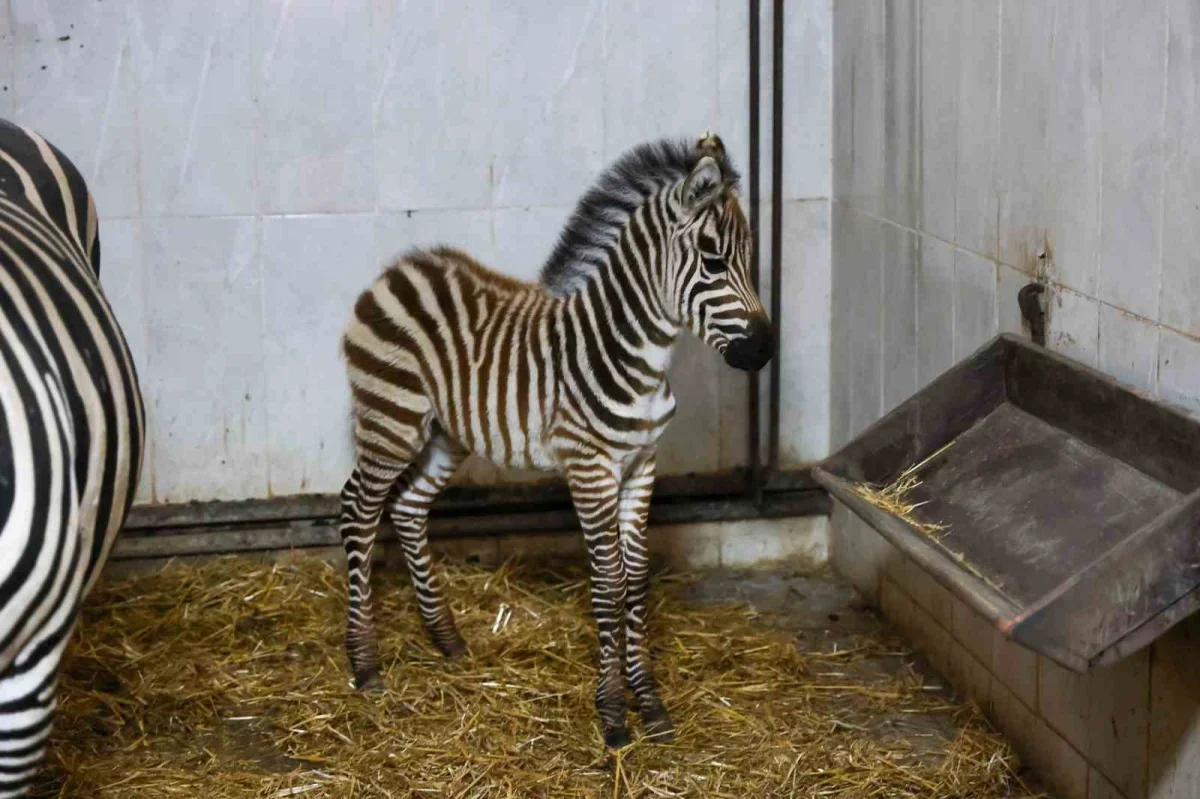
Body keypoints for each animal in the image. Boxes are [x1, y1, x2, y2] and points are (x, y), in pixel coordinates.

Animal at [338, 133, 771, 749]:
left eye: (749, 258)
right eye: (713, 260)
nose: (763, 351)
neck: (636, 356)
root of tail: (400, 268)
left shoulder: (642, 463)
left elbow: (636, 579)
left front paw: (650, 704)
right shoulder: (590, 468)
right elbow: (609, 582)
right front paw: (613, 715)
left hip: (447, 433)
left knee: (407, 508)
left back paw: (446, 639)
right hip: (391, 419)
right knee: (359, 511)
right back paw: (365, 663)